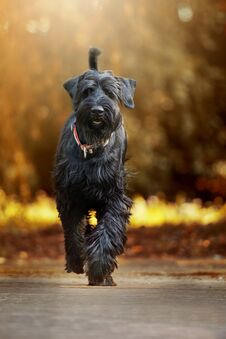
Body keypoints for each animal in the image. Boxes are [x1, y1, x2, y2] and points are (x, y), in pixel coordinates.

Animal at [53, 47, 136, 286]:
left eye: (110, 93)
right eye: (87, 92)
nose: (98, 111)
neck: (92, 149)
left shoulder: (114, 198)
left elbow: (108, 231)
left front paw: (99, 268)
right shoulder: (69, 197)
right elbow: (74, 231)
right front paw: (77, 261)